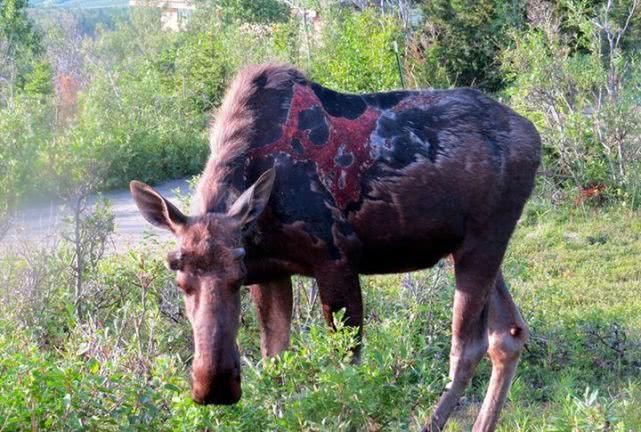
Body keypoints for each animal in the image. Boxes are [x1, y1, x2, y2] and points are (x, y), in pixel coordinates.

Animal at [130, 64, 540, 432]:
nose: (214, 387)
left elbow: (347, 369)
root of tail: (534, 137)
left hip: (483, 242)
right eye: (178, 275)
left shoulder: (335, 259)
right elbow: (276, 364)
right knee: (508, 333)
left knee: (468, 345)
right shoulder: (272, 273)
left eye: (237, 273)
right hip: (473, 246)